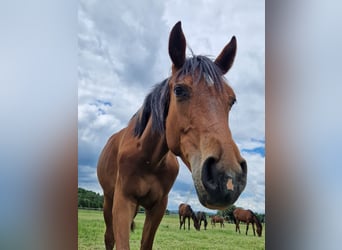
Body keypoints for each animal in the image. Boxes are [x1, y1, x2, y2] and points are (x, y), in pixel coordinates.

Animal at [97, 21, 247, 250]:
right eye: (179, 90)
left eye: (232, 100)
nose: (228, 178)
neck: (148, 158)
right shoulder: (123, 202)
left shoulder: (158, 207)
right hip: (108, 200)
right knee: (109, 237)